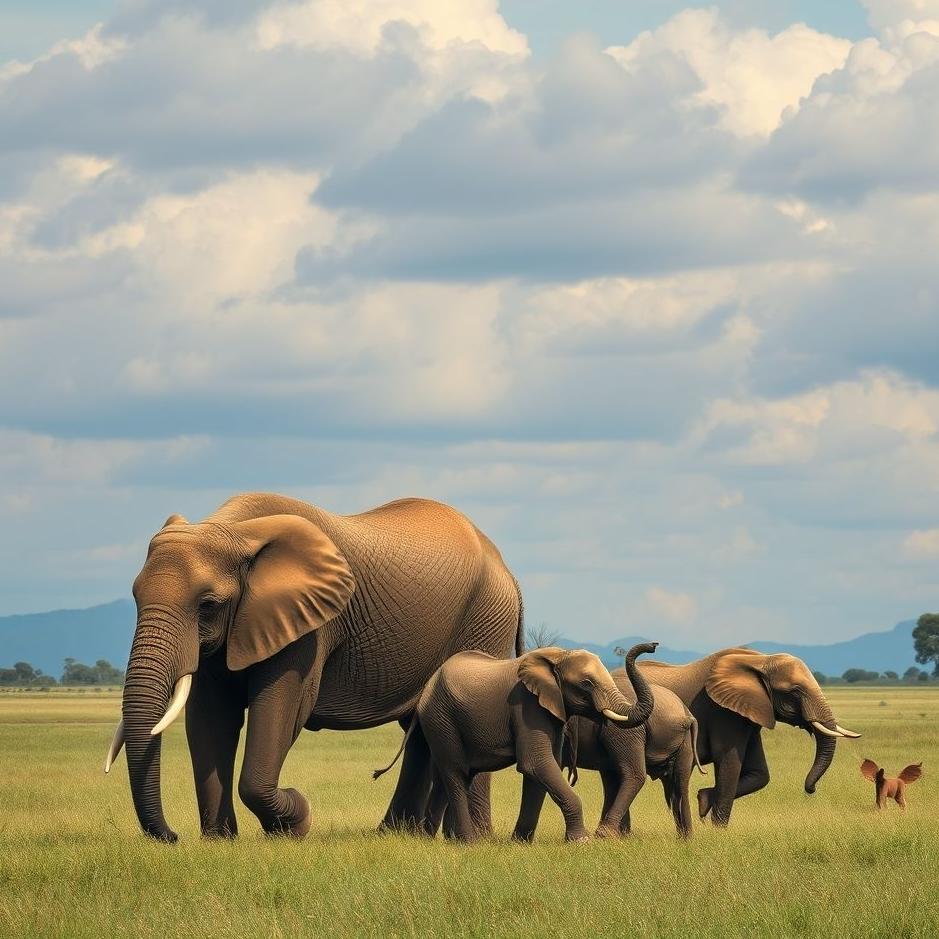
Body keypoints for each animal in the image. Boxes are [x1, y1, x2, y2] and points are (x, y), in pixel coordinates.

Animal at [103, 492, 523, 842]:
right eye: (135, 597)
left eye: (208, 604)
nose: (172, 836)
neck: (234, 529)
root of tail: (506, 567)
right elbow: (210, 715)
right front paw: (219, 841)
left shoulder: (310, 627)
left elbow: (283, 707)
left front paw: (296, 822)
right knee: (419, 729)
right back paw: (400, 834)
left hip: (485, 619)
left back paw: (471, 839)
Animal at [374, 643, 656, 843]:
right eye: (586, 683)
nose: (653, 644)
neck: (556, 657)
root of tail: (426, 688)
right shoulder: (526, 704)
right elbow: (536, 763)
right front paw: (581, 841)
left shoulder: (549, 709)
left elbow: (541, 770)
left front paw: (520, 842)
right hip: (441, 718)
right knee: (455, 773)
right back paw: (469, 842)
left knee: (450, 777)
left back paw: (431, 839)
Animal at [562, 680, 704, 839]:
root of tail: (686, 714)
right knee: (678, 785)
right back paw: (684, 839)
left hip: (624, 730)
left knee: (635, 775)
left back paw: (606, 834)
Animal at [638, 647, 861, 827]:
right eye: (795, 691)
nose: (811, 789)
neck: (760, 660)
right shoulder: (723, 713)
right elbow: (729, 764)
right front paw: (718, 832)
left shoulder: (748, 714)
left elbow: (761, 774)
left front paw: (704, 799)